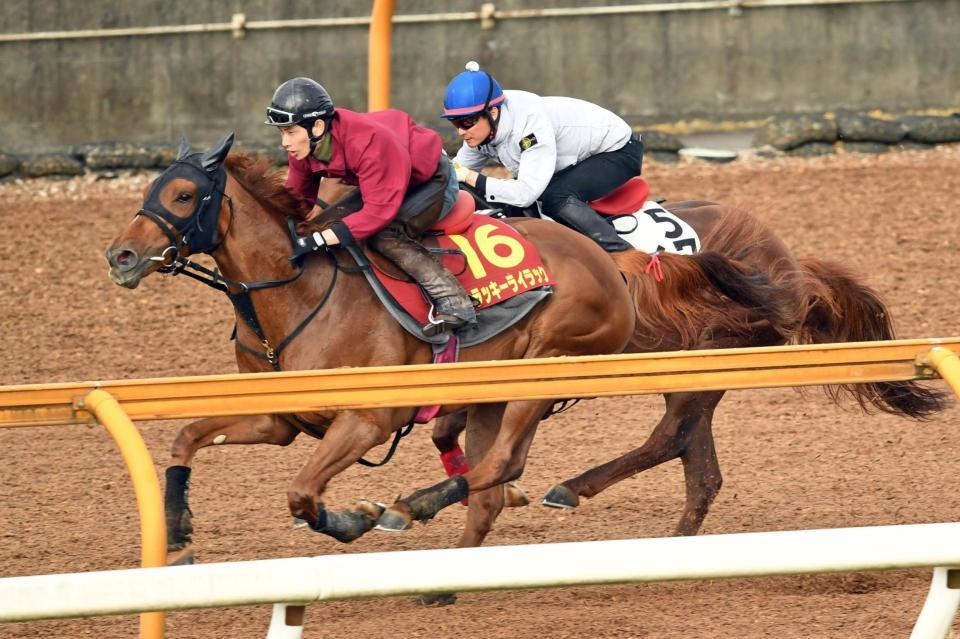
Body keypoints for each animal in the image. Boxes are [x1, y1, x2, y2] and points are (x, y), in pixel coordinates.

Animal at [105, 134, 796, 564]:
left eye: (184, 195)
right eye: (151, 189)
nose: (121, 256)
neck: (300, 293)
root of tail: (615, 262)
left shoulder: (369, 417)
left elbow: (303, 493)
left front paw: (358, 517)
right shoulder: (280, 418)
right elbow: (186, 437)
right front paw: (179, 532)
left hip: (558, 370)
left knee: (567, 453)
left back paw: (448, 504)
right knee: (690, 462)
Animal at [434, 200, 944, 540]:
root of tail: (793, 270)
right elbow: (446, 429)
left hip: (711, 354)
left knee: (669, 439)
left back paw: (571, 489)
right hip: (692, 369)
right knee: (701, 470)